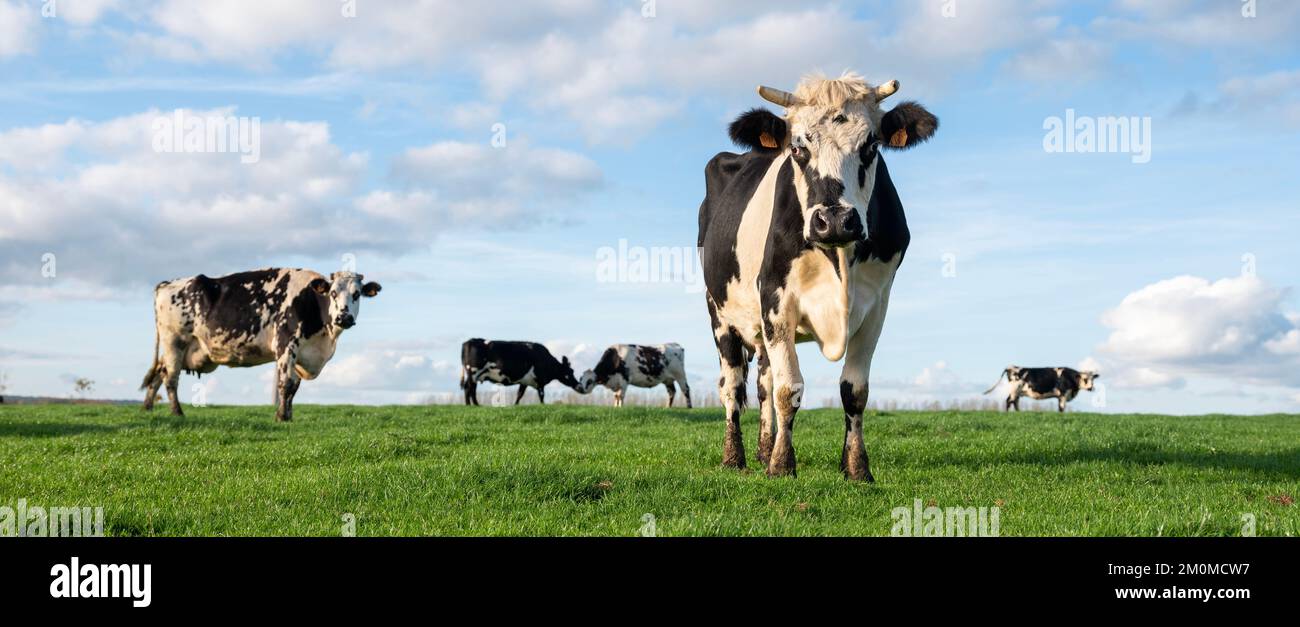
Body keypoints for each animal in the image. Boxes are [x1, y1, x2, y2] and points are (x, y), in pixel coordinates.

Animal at [138, 265, 379, 418]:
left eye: (357, 294)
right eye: (333, 293)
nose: (344, 317)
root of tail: (168, 283)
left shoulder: (301, 353)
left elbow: (294, 386)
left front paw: (288, 415)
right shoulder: (286, 345)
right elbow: (286, 384)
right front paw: (281, 417)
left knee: (159, 373)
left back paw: (147, 408)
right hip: (174, 340)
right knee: (171, 378)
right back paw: (177, 412)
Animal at [696, 72, 941, 481]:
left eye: (871, 145)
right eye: (798, 149)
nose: (836, 221)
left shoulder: (876, 307)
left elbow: (854, 390)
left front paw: (856, 468)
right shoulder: (776, 302)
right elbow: (789, 389)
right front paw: (782, 466)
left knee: (763, 383)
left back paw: (764, 449)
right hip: (718, 311)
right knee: (732, 386)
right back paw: (735, 458)